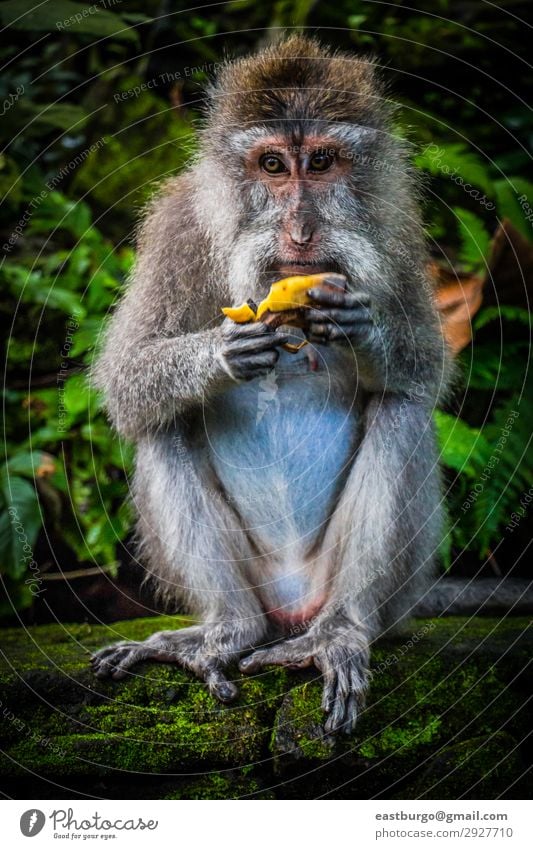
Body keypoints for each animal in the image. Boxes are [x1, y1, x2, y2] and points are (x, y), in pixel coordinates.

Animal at [89, 36, 450, 732]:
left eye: (322, 161)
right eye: (274, 165)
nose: (301, 231)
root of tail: (290, 608)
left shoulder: (397, 229)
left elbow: (425, 366)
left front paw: (362, 332)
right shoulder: (176, 227)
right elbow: (126, 377)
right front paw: (222, 352)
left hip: (377, 593)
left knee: (402, 409)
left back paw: (338, 632)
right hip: (253, 581)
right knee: (162, 425)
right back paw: (225, 632)